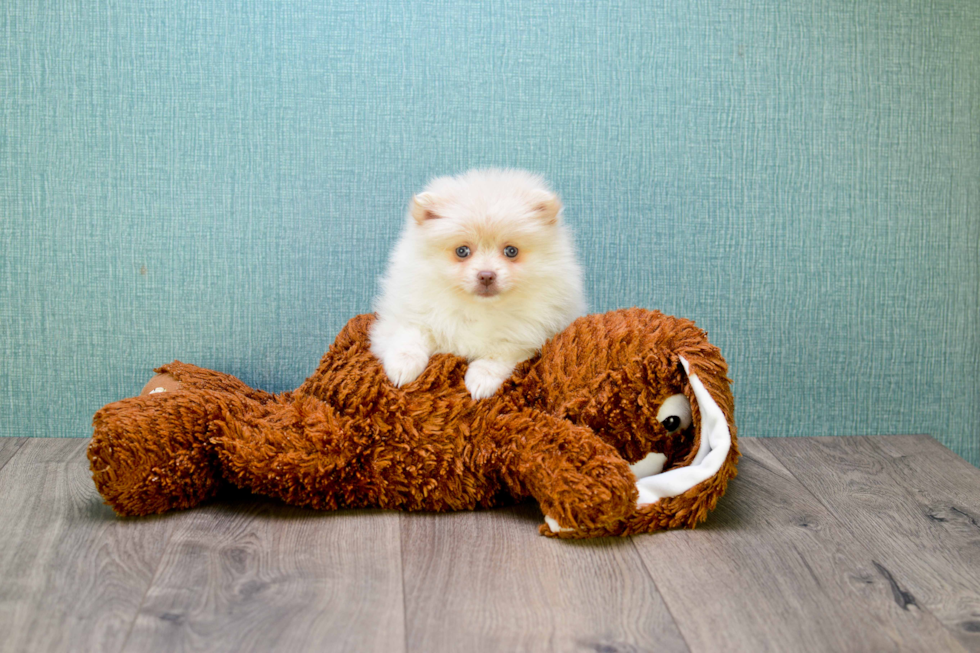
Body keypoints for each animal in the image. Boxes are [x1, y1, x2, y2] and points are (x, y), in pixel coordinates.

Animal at [368, 169, 580, 398]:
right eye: (462, 251)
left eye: (511, 251)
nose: (486, 275)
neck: (480, 308)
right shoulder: (409, 314)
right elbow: (409, 336)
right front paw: (402, 368)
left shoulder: (525, 339)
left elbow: (498, 354)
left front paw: (480, 381)